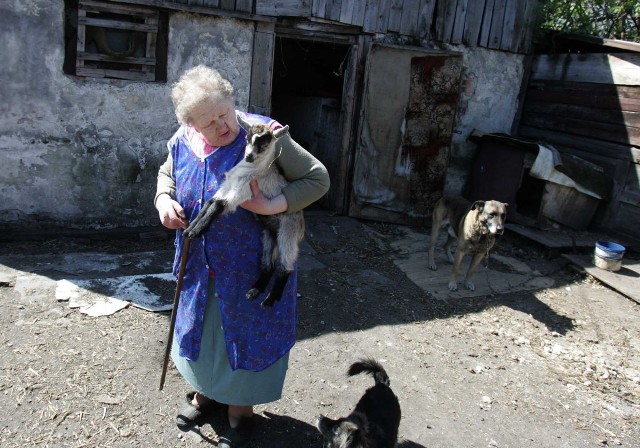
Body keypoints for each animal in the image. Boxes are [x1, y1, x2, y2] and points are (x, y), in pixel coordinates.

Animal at [185, 114, 304, 308]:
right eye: (248, 138)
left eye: (264, 143)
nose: (248, 156)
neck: (253, 169)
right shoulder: (227, 186)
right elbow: (209, 203)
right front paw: (191, 228)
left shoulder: (242, 192)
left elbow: (218, 205)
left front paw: (197, 230)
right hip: (269, 235)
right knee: (268, 265)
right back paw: (254, 291)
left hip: (288, 232)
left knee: (285, 267)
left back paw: (270, 300)